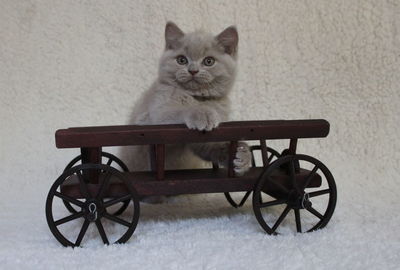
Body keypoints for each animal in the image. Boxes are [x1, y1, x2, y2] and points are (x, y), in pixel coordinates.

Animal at [123, 21, 252, 194]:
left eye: (209, 61)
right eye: (182, 60)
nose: (193, 70)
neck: (198, 98)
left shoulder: (206, 138)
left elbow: (212, 146)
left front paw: (242, 155)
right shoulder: (154, 115)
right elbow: (179, 111)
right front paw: (202, 114)